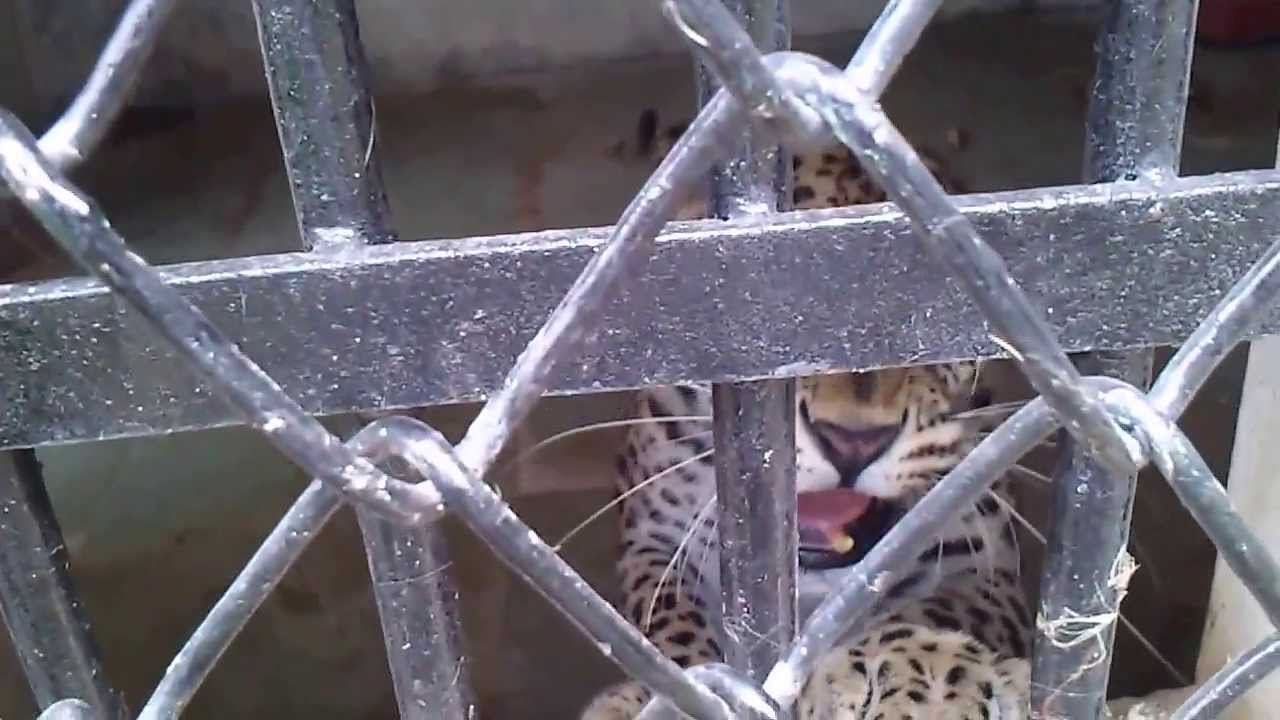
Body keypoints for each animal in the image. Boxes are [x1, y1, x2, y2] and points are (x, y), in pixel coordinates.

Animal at [579, 110, 1031, 719]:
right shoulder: (654, 541)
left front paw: (927, 679)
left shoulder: (984, 561)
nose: (853, 441)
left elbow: (934, 609)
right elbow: (672, 629)